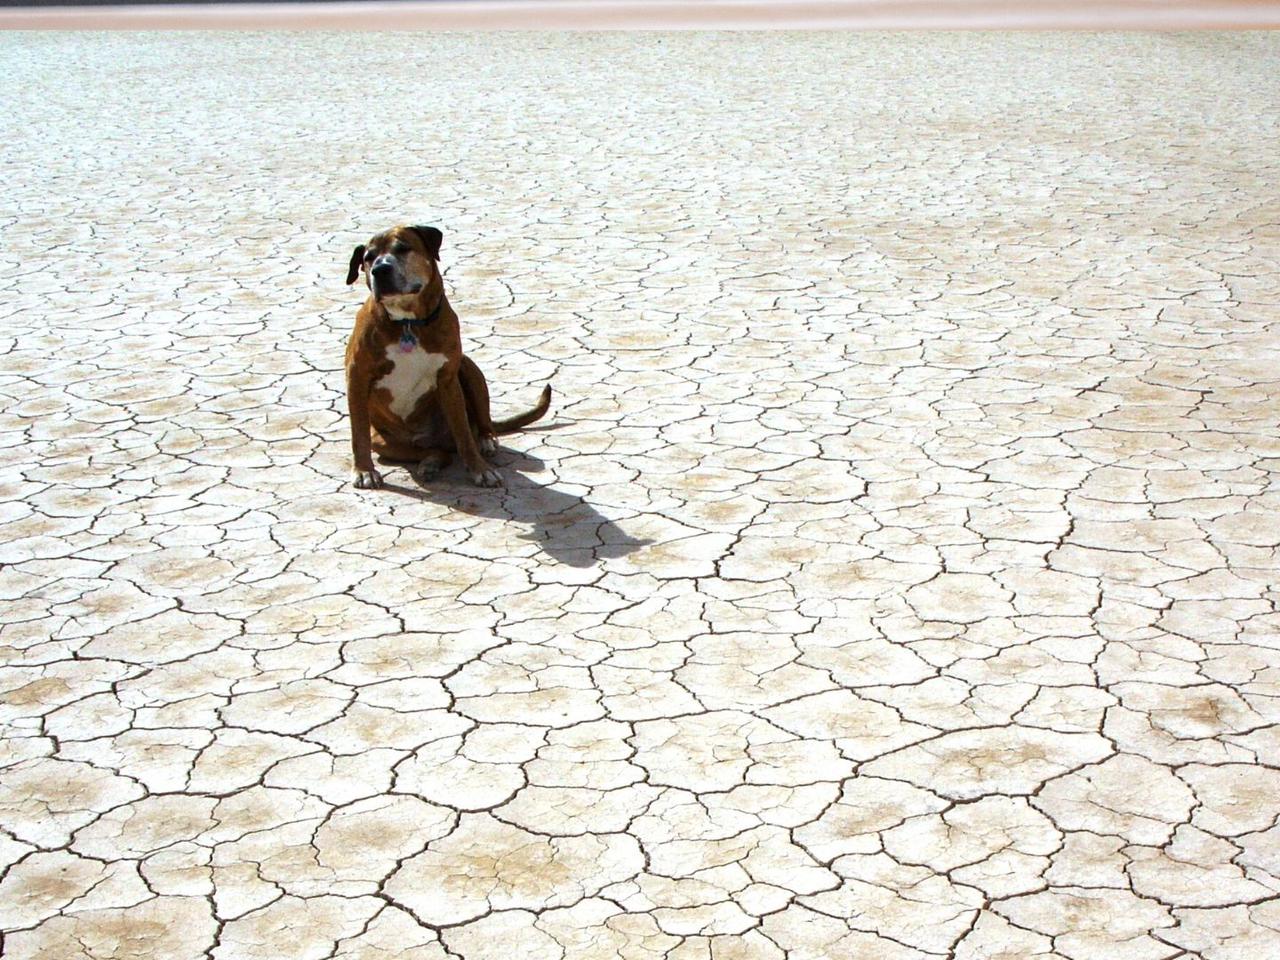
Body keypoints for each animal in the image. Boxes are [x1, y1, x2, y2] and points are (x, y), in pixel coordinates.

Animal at [345, 225, 550, 488]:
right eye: (368, 257)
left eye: (402, 248)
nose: (380, 269)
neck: (408, 322)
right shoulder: (357, 376)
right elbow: (358, 432)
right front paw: (364, 470)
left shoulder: (448, 380)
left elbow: (464, 434)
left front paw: (480, 470)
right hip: (386, 443)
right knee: (438, 452)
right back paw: (429, 464)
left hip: (469, 368)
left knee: (479, 427)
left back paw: (484, 441)